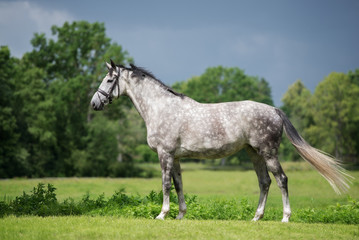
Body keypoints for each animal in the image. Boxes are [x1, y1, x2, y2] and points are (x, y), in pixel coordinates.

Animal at [90, 60, 352, 221]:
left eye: (109, 80)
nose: (94, 103)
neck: (161, 108)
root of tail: (275, 110)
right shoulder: (176, 157)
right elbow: (178, 184)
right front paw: (180, 214)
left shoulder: (164, 154)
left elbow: (165, 185)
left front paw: (162, 214)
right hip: (253, 153)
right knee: (265, 182)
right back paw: (256, 217)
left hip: (268, 153)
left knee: (281, 180)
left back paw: (285, 217)